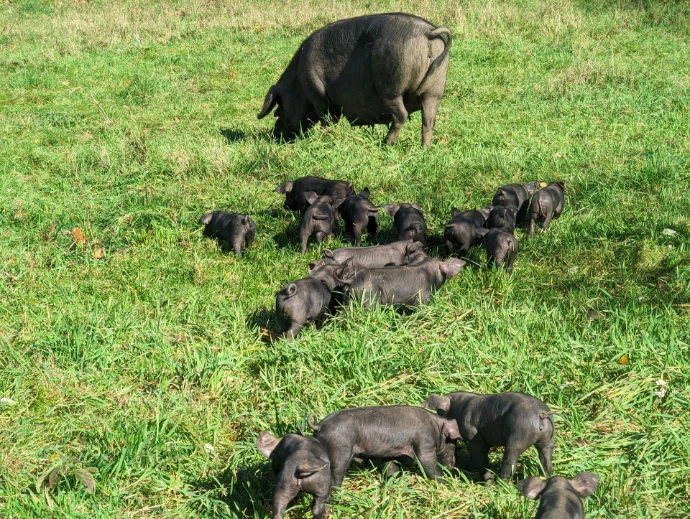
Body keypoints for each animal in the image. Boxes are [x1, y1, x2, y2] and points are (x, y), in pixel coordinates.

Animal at [257, 14, 452, 147]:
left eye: (278, 109)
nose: (274, 134)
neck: (298, 83)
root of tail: (428, 33)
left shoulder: (316, 92)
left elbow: (327, 118)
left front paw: (324, 136)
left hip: (391, 86)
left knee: (401, 115)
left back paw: (386, 144)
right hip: (435, 89)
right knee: (429, 121)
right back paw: (424, 148)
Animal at [307, 406, 461, 487]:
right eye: (452, 445)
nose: (453, 465)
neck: (436, 426)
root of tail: (319, 425)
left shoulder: (389, 453)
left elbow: (390, 466)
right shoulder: (424, 443)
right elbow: (428, 463)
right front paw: (445, 483)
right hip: (339, 449)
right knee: (336, 473)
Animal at [423, 391, 556, 482]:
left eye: (440, 412)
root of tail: (542, 414)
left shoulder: (472, 435)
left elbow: (479, 455)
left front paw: (487, 481)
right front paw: (469, 467)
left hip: (519, 433)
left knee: (510, 459)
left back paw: (500, 484)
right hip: (548, 439)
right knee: (546, 457)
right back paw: (545, 478)